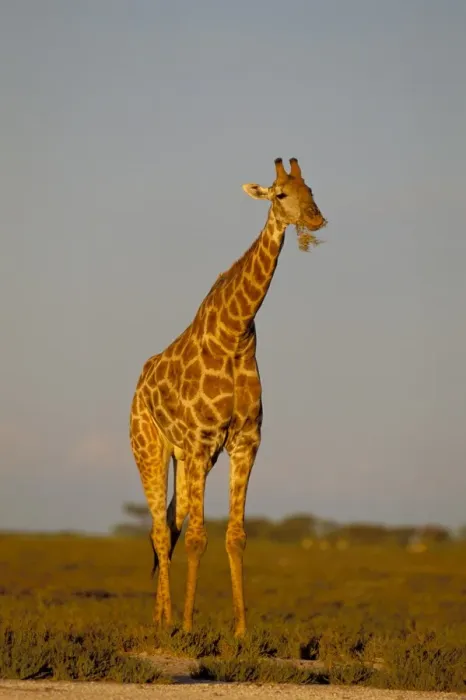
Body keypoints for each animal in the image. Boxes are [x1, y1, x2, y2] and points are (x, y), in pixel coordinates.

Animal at [129, 157, 327, 637]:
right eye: (280, 194)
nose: (316, 219)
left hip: (184, 458)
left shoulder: (244, 441)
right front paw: (188, 627)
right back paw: (165, 624)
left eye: (311, 190)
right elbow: (198, 537)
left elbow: (235, 536)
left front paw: (241, 631)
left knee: (167, 526)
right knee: (161, 530)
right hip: (150, 447)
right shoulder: (203, 442)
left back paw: (160, 617)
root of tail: (139, 385)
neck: (235, 336)